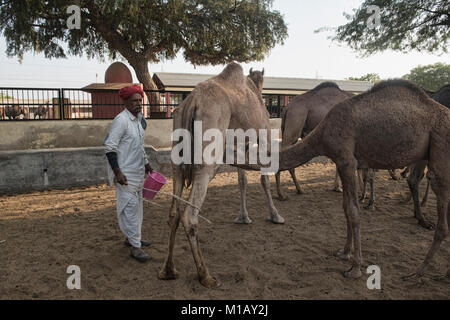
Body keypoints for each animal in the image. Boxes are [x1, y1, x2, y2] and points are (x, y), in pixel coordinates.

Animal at [160, 62, 284, 288]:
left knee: (174, 212)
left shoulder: (240, 144)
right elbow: (264, 178)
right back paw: (206, 276)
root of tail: (191, 102)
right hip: (208, 159)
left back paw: (168, 270)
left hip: (177, 162)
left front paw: (243, 217)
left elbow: (242, 179)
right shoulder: (264, 137)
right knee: (190, 215)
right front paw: (275, 215)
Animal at [280, 80, 448, 280]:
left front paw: (355, 267)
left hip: (440, 145)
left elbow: (353, 211)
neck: (323, 133)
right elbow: (346, 207)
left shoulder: (346, 160)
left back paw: (417, 272)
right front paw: (344, 252)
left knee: (439, 203)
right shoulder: (344, 161)